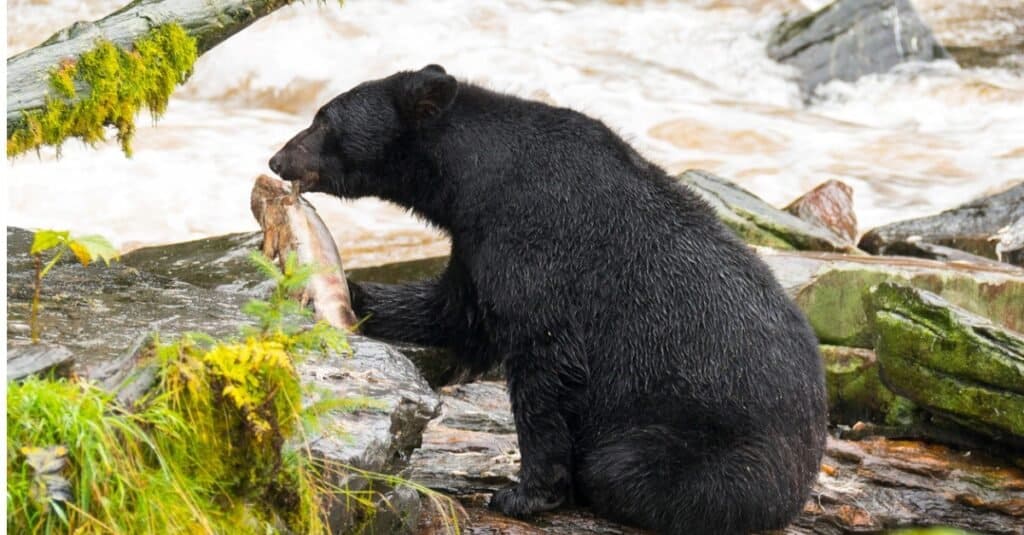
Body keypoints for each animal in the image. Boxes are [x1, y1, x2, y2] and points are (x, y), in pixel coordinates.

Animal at [268, 64, 827, 528]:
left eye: (323, 120)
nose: (276, 158)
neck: (477, 178)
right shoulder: (477, 243)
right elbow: (457, 311)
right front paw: (350, 292)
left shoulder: (540, 242)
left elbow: (544, 364)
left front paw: (525, 494)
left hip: (717, 448)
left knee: (625, 468)